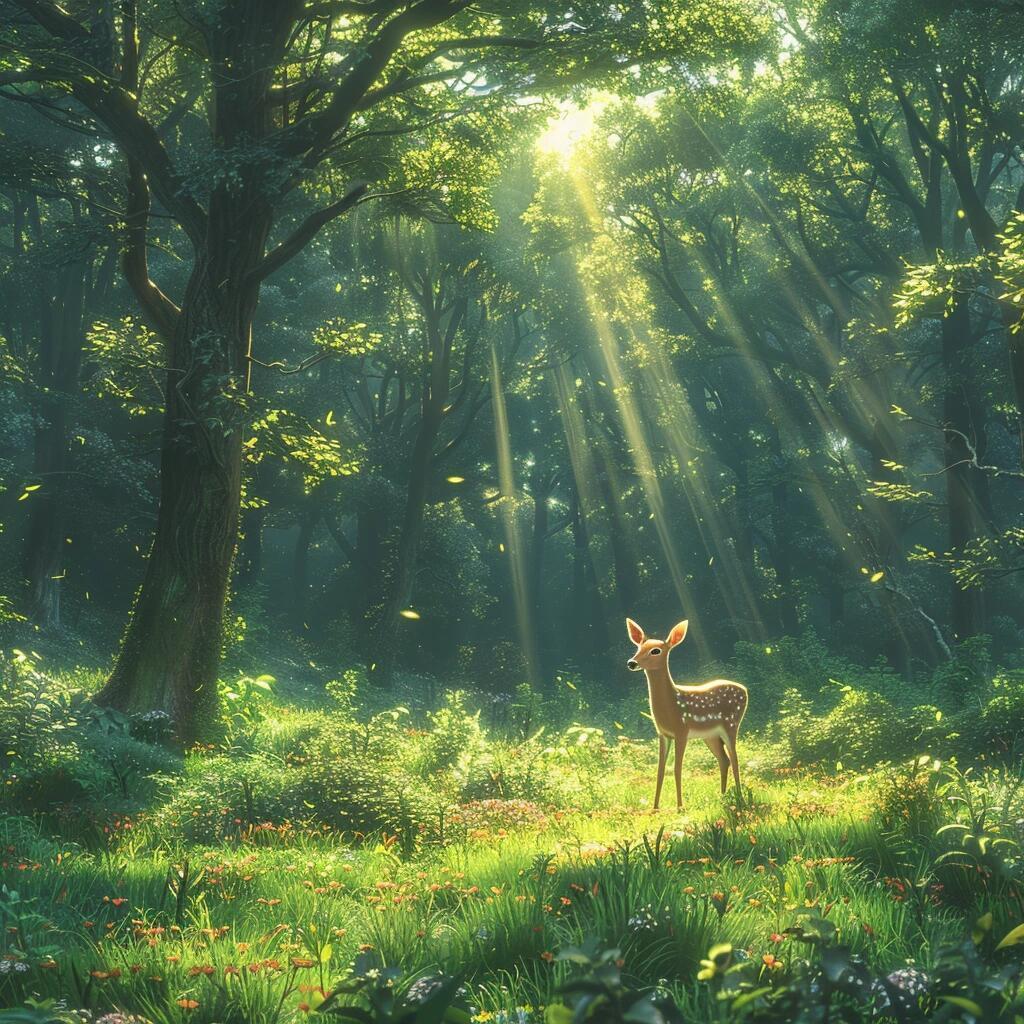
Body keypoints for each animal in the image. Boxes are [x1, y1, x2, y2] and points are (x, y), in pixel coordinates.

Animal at [626, 618, 747, 810]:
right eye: (638, 647)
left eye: (655, 650)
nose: (631, 663)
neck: (671, 707)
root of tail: (745, 690)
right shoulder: (663, 734)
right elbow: (660, 769)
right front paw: (655, 807)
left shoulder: (681, 731)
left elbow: (677, 768)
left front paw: (680, 806)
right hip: (711, 736)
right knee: (724, 760)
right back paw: (722, 797)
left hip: (732, 724)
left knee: (735, 759)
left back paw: (740, 798)